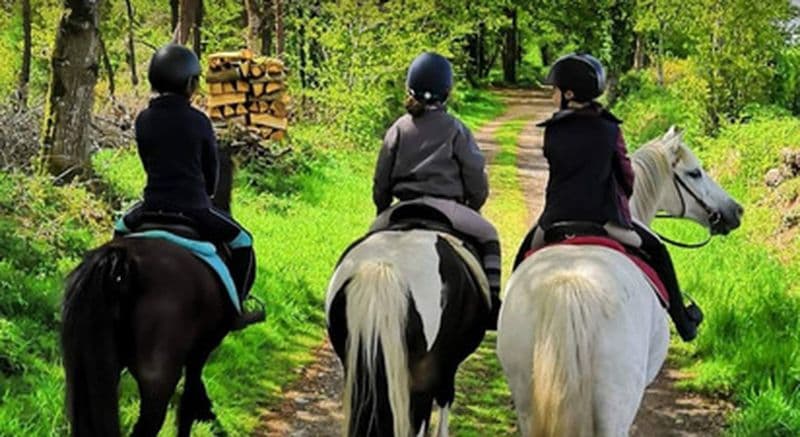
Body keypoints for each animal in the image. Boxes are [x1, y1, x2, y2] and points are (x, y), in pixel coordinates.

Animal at [61, 151, 239, 437]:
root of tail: (121, 259)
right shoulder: (201, 350)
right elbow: (188, 402)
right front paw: (203, 411)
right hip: (158, 376)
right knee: (149, 423)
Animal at [325, 223, 492, 436]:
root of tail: (383, 265)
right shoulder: (448, 365)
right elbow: (445, 399)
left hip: (352, 363)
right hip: (423, 376)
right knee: (422, 416)